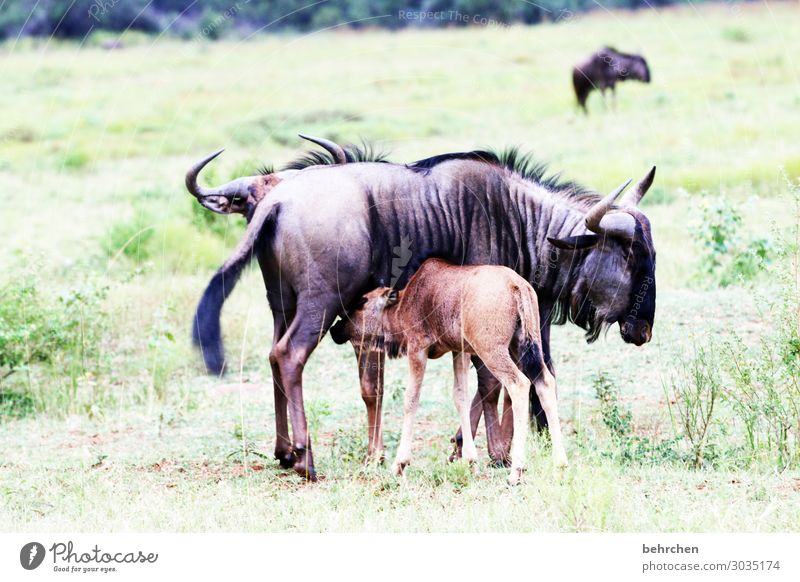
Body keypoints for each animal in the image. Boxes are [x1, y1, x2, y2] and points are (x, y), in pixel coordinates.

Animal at [332, 258, 568, 484]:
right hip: (524, 345)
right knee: (545, 383)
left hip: (493, 349)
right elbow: (460, 396)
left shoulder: (417, 348)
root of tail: (519, 286)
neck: (400, 309)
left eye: (361, 302)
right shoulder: (459, 351)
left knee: (518, 384)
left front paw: (400, 464)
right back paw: (560, 464)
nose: (335, 329)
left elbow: (411, 399)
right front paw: (471, 461)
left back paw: (516, 471)